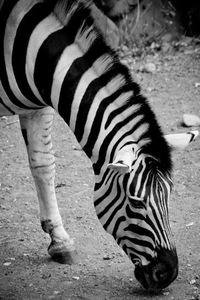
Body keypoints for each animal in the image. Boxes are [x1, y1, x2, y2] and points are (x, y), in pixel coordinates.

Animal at [0, 0, 198, 292]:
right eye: (135, 203)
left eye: (169, 195)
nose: (168, 274)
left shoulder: (39, 105)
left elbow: (43, 164)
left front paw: (60, 241)